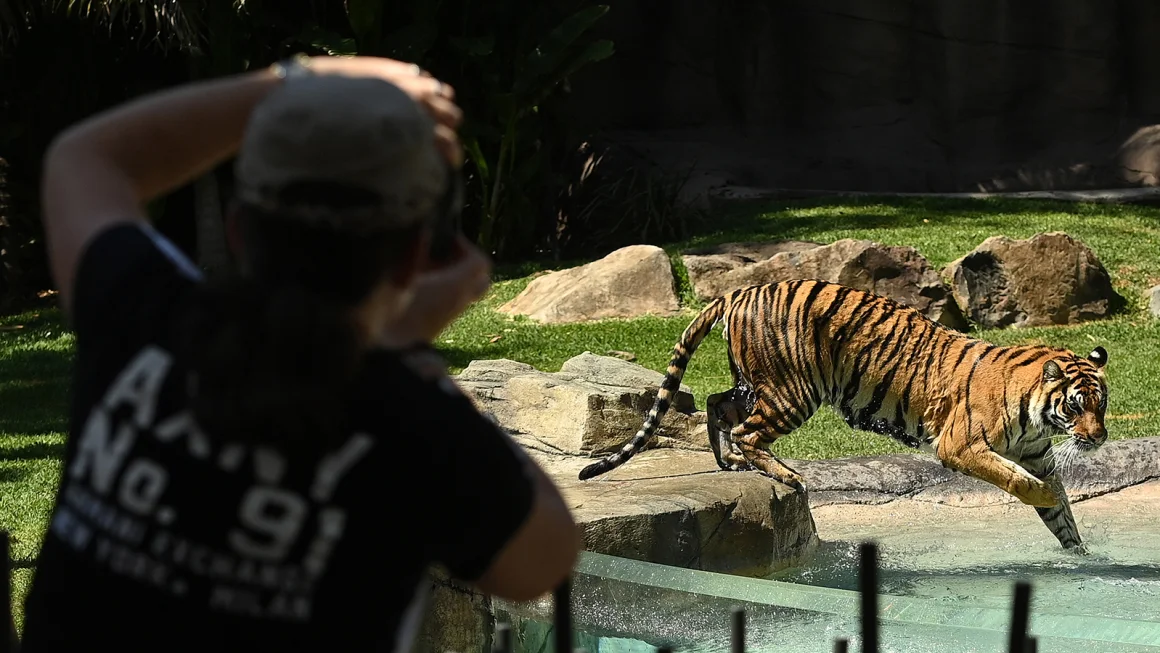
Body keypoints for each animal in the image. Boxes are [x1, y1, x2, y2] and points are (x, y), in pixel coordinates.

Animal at [575, 278, 1108, 554]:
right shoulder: (961, 446)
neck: (1038, 413)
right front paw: (1044, 498)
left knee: (715, 402)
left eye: (1101, 404)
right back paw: (785, 474)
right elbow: (1021, 482)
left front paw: (1081, 555)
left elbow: (1061, 515)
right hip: (792, 390)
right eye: (1076, 405)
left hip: (755, 383)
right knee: (748, 430)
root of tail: (741, 291)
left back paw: (728, 462)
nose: (1099, 438)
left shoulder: (1038, 455)